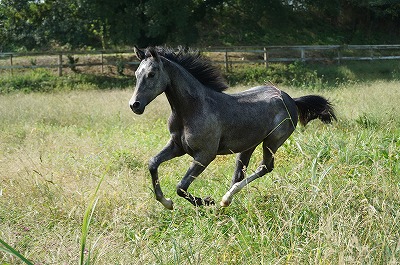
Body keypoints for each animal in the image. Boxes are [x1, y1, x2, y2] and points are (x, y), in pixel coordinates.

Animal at [129, 46, 334, 209]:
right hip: (248, 146)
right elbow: (153, 163)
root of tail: (291, 99)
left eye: (152, 74)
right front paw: (167, 202)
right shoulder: (177, 147)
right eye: (136, 74)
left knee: (264, 167)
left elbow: (181, 187)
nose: (134, 105)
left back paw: (225, 199)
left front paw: (206, 201)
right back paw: (226, 201)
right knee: (240, 174)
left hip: (272, 142)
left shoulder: (205, 155)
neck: (191, 109)